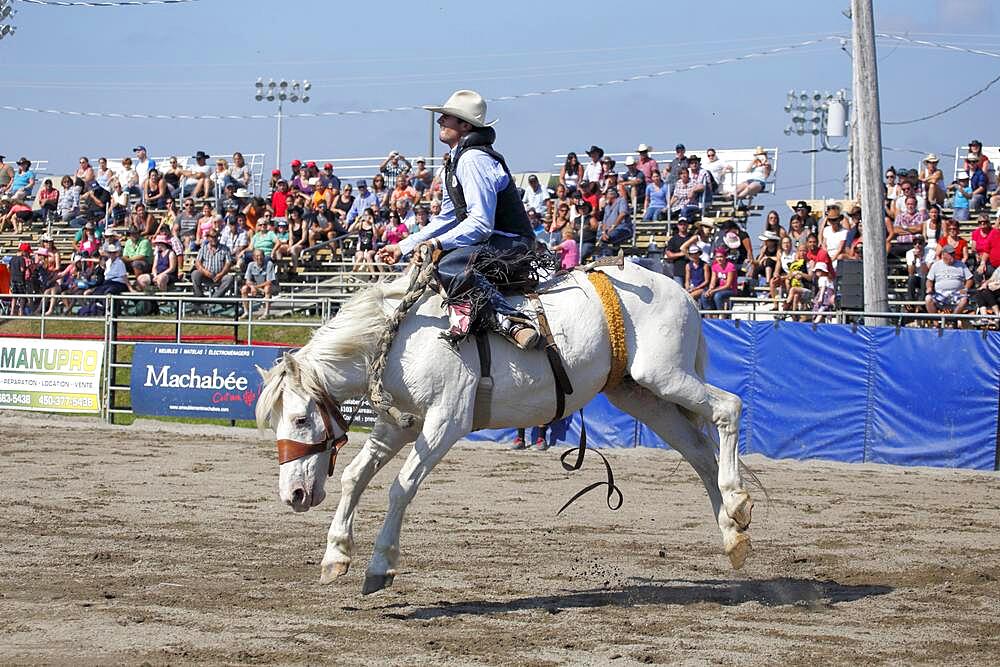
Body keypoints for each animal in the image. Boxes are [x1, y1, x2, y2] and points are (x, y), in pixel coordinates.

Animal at [254, 260, 752, 596]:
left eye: (300, 418)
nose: (293, 495)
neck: (402, 338)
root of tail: (679, 291)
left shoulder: (445, 422)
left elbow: (401, 487)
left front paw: (380, 565)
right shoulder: (401, 424)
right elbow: (357, 476)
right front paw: (336, 554)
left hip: (663, 376)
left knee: (729, 408)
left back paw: (737, 502)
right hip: (642, 394)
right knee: (699, 453)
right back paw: (732, 535)